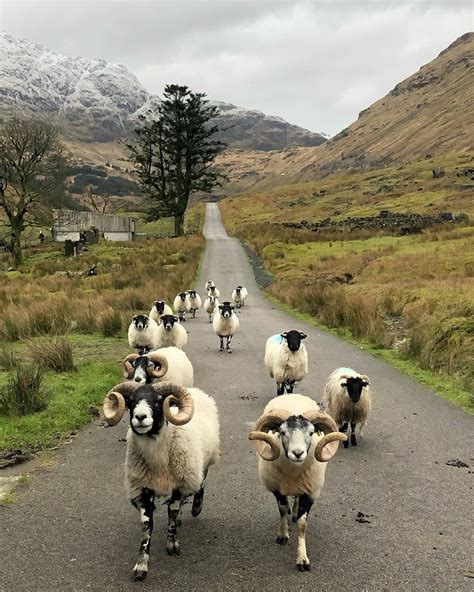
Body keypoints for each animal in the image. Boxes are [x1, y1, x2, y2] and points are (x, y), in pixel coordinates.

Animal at [102, 380, 220, 580]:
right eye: (131, 401)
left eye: (158, 401)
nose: (140, 417)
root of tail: (195, 390)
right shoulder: (142, 488)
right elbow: (147, 525)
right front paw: (141, 565)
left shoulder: (179, 483)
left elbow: (172, 512)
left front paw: (172, 545)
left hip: (201, 462)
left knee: (200, 483)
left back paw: (196, 507)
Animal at [250, 396, 346, 572]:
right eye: (282, 432)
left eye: (311, 432)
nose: (297, 453)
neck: (293, 471)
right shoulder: (277, 489)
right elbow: (281, 510)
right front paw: (282, 535)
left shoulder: (310, 492)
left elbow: (302, 524)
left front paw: (302, 559)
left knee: (295, 499)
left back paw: (293, 512)